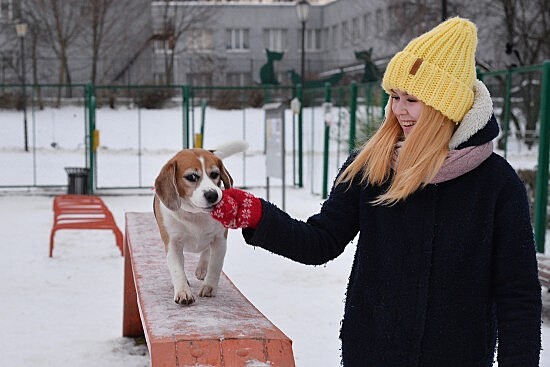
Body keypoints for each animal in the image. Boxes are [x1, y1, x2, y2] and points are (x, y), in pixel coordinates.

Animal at [155, 141, 250, 304]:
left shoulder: (220, 240)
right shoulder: (173, 243)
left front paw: (209, 287)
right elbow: (177, 269)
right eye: (191, 177)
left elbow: (215, 265)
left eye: (215, 174)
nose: (213, 195)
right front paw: (183, 291)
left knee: (206, 252)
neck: (196, 214)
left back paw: (202, 268)